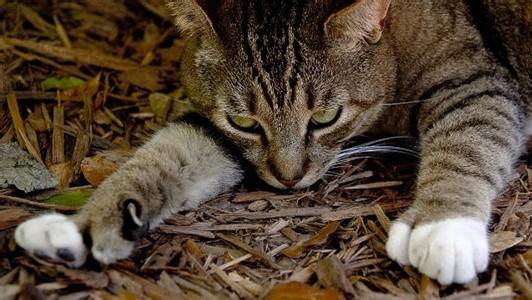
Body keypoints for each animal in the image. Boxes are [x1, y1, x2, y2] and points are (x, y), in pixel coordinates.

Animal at [14, 0, 528, 284]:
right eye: (244, 121)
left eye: (324, 117)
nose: (288, 178)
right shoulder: (218, 131)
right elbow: (169, 151)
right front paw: (83, 225)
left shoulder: (476, 81)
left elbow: (467, 143)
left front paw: (443, 227)